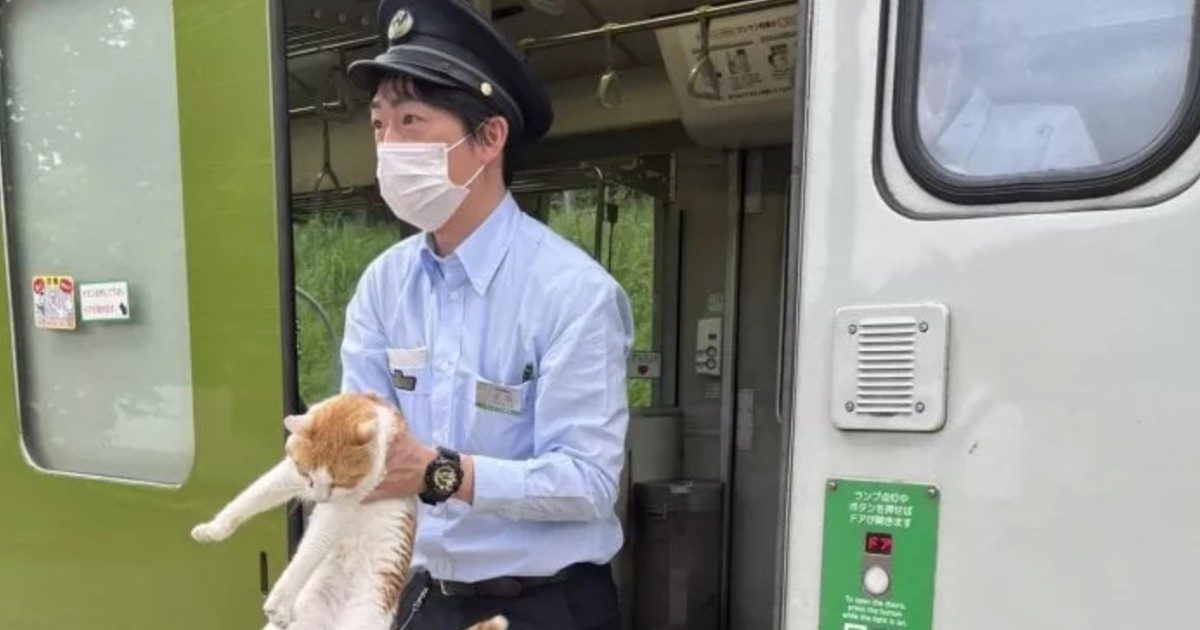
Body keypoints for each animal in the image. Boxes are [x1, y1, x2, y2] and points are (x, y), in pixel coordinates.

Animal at [190, 391, 506, 628]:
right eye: (308, 476)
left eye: (338, 481)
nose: (319, 497)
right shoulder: (288, 475)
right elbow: (250, 497)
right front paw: (213, 529)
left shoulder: (340, 509)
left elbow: (307, 554)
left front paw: (279, 601)